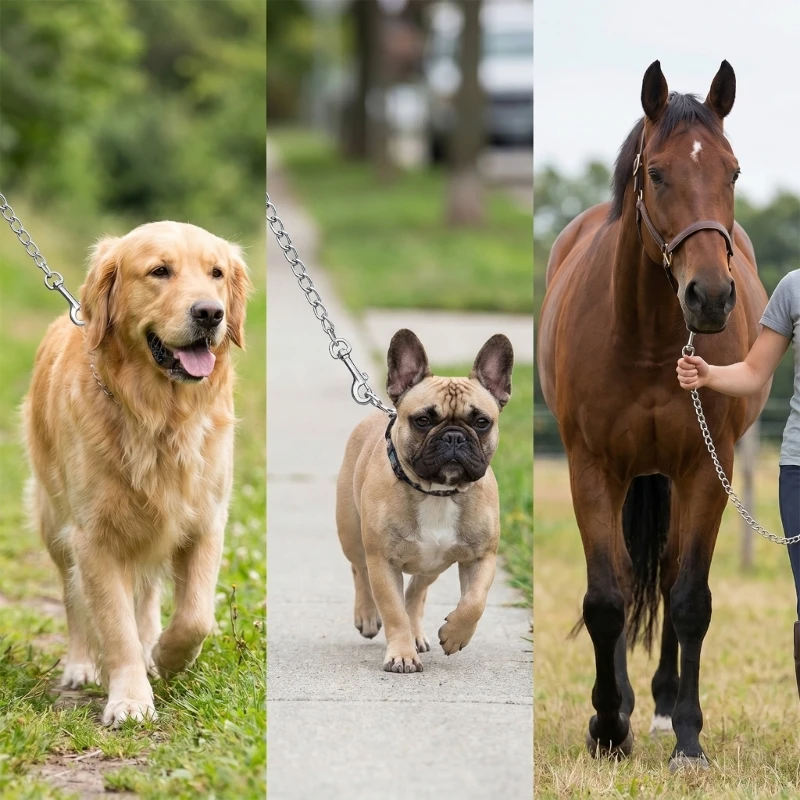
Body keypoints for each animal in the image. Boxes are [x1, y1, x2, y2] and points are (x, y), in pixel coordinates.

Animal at [537, 60, 769, 770]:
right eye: (658, 173)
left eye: (733, 172)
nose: (710, 298)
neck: (643, 342)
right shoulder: (590, 468)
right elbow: (605, 598)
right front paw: (608, 726)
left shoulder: (705, 469)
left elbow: (689, 597)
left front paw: (689, 737)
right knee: (621, 574)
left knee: (665, 573)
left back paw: (664, 705)